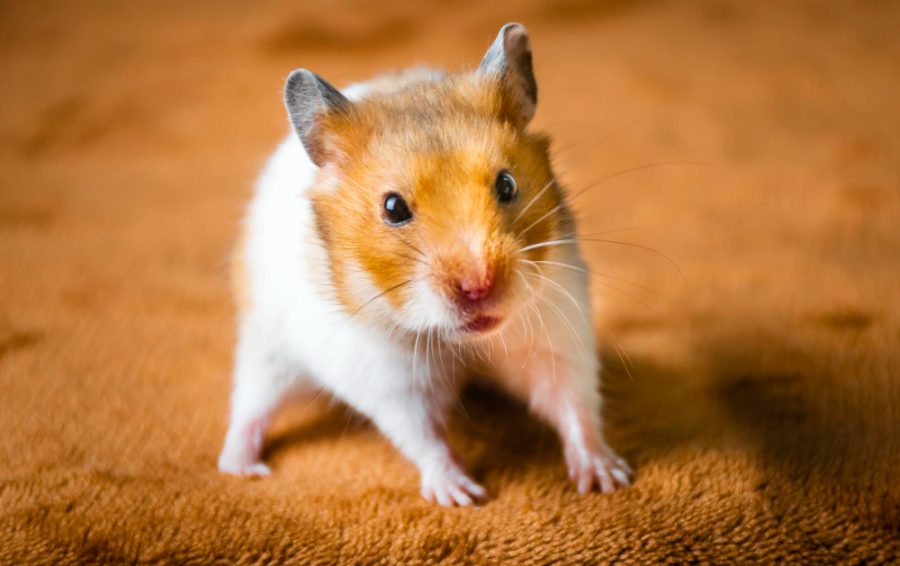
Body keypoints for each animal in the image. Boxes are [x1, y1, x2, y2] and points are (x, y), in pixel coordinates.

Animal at [218, 23, 631, 506]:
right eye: (394, 208)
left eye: (507, 185)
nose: (479, 286)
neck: (461, 341)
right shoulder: (389, 379)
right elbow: (423, 435)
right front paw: (463, 495)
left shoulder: (554, 336)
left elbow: (572, 403)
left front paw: (606, 478)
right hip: (266, 346)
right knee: (252, 404)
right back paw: (243, 467)